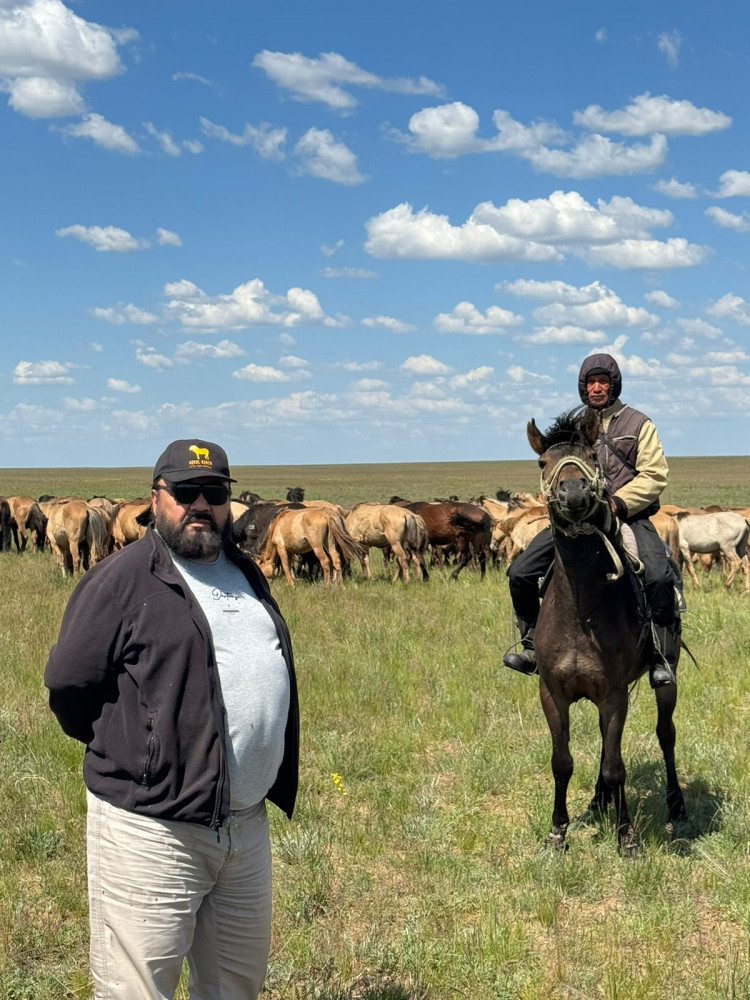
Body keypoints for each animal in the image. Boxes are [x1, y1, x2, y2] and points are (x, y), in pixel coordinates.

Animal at [528, 406, 688, 852]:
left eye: (591, 458)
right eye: (543, 463)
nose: (574, 494)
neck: (582, 606)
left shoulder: (615, 695)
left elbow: (616, 766)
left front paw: (626, 835)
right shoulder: (552, 693)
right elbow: (562, 762)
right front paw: (558, 832)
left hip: (666, 676)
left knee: (665, 734)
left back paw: (675, 805)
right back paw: (599, 802)